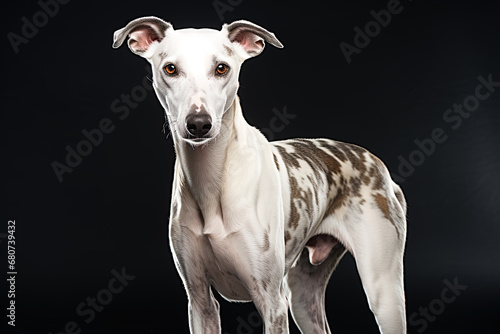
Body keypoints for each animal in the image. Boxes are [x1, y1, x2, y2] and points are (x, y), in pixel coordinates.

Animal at [112, 16, 406, 334]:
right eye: (170, 68)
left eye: (221, 68)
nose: (199, 123)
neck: (212, 179)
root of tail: (377, 164)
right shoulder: (200, 301)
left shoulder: (272, 303)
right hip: (304, 298)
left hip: (383, 290)